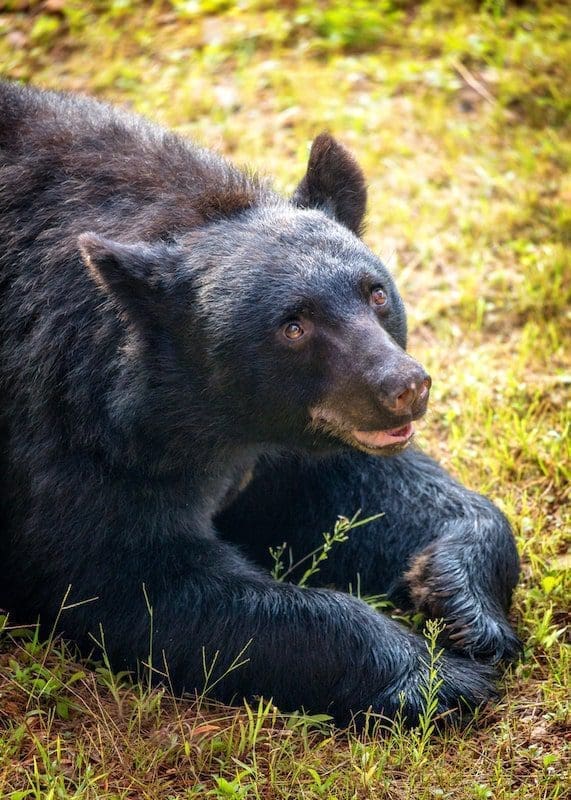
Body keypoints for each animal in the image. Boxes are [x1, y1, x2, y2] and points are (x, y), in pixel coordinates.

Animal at [0, 81, 520, 724]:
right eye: (292, 326)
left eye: (376, 293)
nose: (405, 388)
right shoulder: (70, 433)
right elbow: (127, 578)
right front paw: (437, 677)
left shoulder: (292, 437)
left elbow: (369, 489)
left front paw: (463, 605)